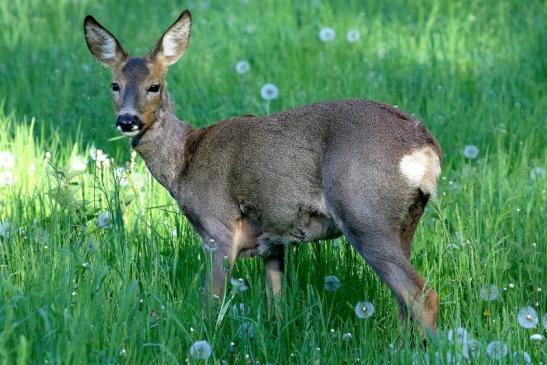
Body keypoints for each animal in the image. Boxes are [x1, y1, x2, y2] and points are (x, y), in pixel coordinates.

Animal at [86, 9, 446, 336]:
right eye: (114, 85)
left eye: (154, 86)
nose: (127, 120)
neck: (185, 160)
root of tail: (425, 146)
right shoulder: (272, 241)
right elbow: (277, 304)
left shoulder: (218, 228)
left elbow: (211, 303)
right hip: (404, 222)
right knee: (403, 300)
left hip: (364, 213)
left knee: (421, 295)